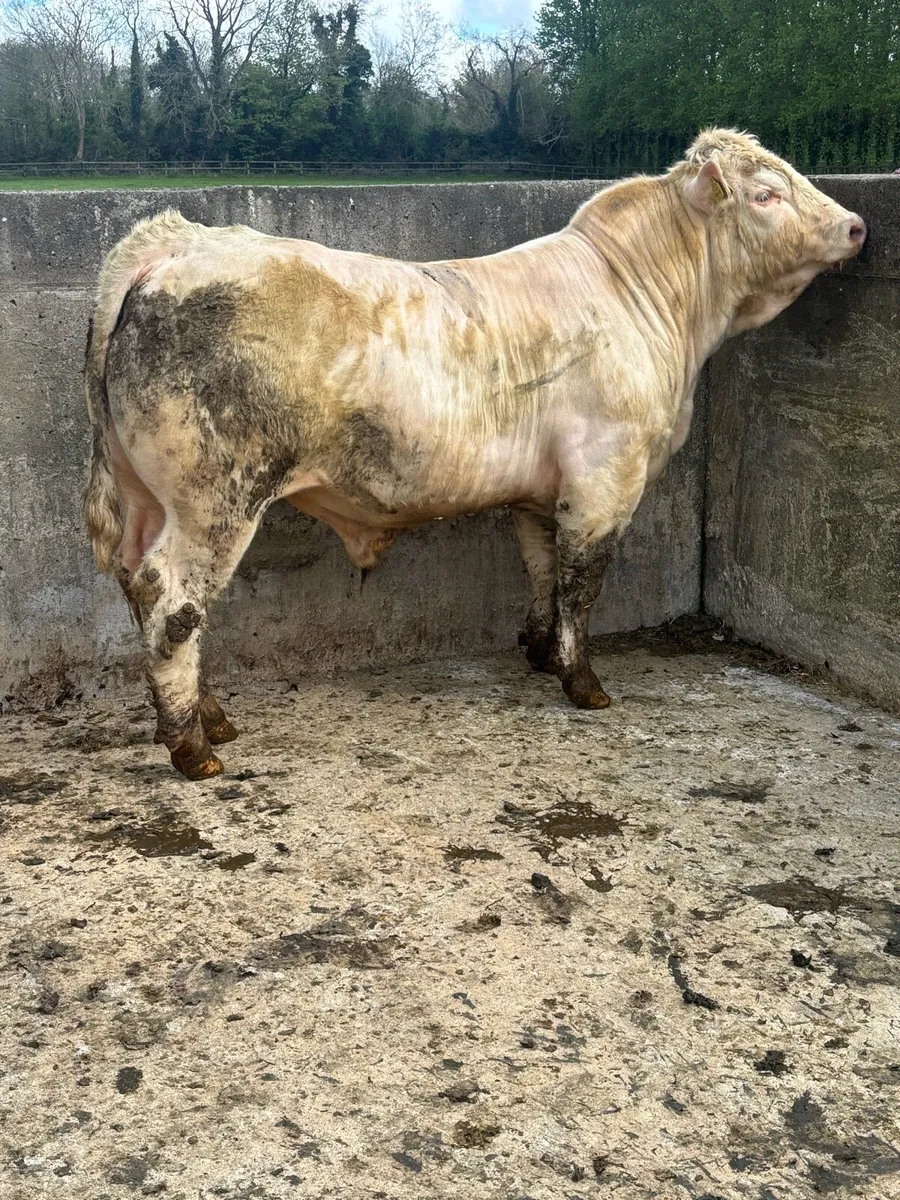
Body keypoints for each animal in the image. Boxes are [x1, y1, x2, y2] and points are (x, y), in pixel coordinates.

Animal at [83, 129, 866, 779]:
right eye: (765, 193)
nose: (856, 224)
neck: (650, 302)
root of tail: (175, 241)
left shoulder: (542, 490)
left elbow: (543, 569)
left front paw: (542, 653)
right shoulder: (606, 474)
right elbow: (583, 579)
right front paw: (585, 684)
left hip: (146, 496)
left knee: (137, 583)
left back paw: (210, 717)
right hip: (215, 498)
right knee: (172, 599)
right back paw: (192, 747)